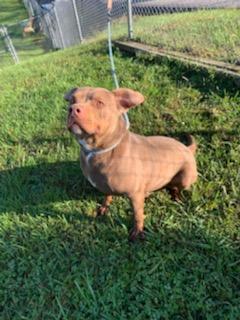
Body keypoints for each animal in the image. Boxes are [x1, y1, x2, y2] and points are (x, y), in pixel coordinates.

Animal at [64, 87, 198, 240]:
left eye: (99, 102)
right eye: (72, 100)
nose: (73, 109)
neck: (97, 150)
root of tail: (187, 148)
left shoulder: (135, 195)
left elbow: (138, 215)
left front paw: (138, 231)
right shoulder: (106, 186)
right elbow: (107, 196)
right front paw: (104, 208)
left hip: (186, 178)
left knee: (176, 187)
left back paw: (174, 194)